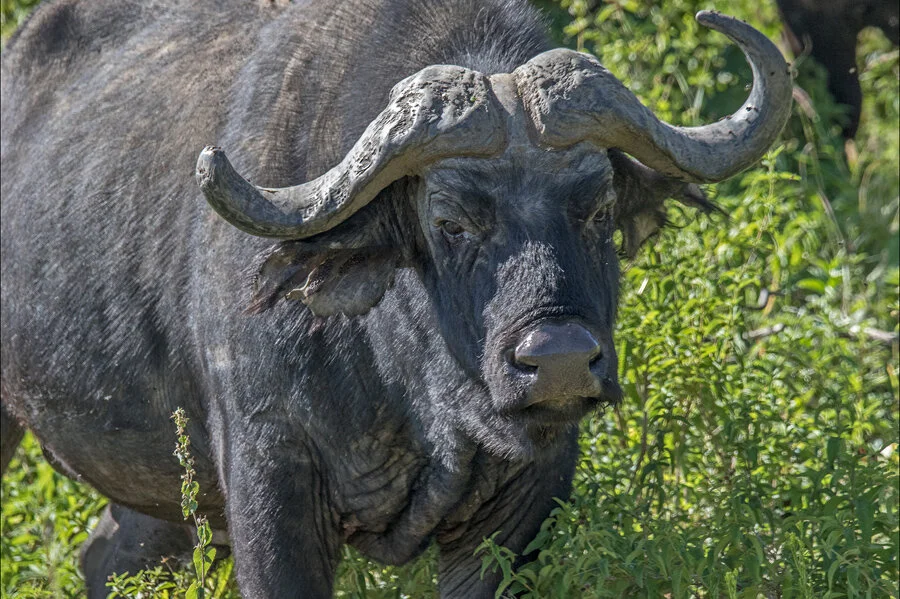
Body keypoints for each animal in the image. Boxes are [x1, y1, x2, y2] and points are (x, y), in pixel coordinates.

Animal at [0, 1, 792, 597]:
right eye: (449, 222)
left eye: (597, 209)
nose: (561, 361)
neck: (410, 387)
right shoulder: (268, 478)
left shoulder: (526, 504)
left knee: (107, 555)